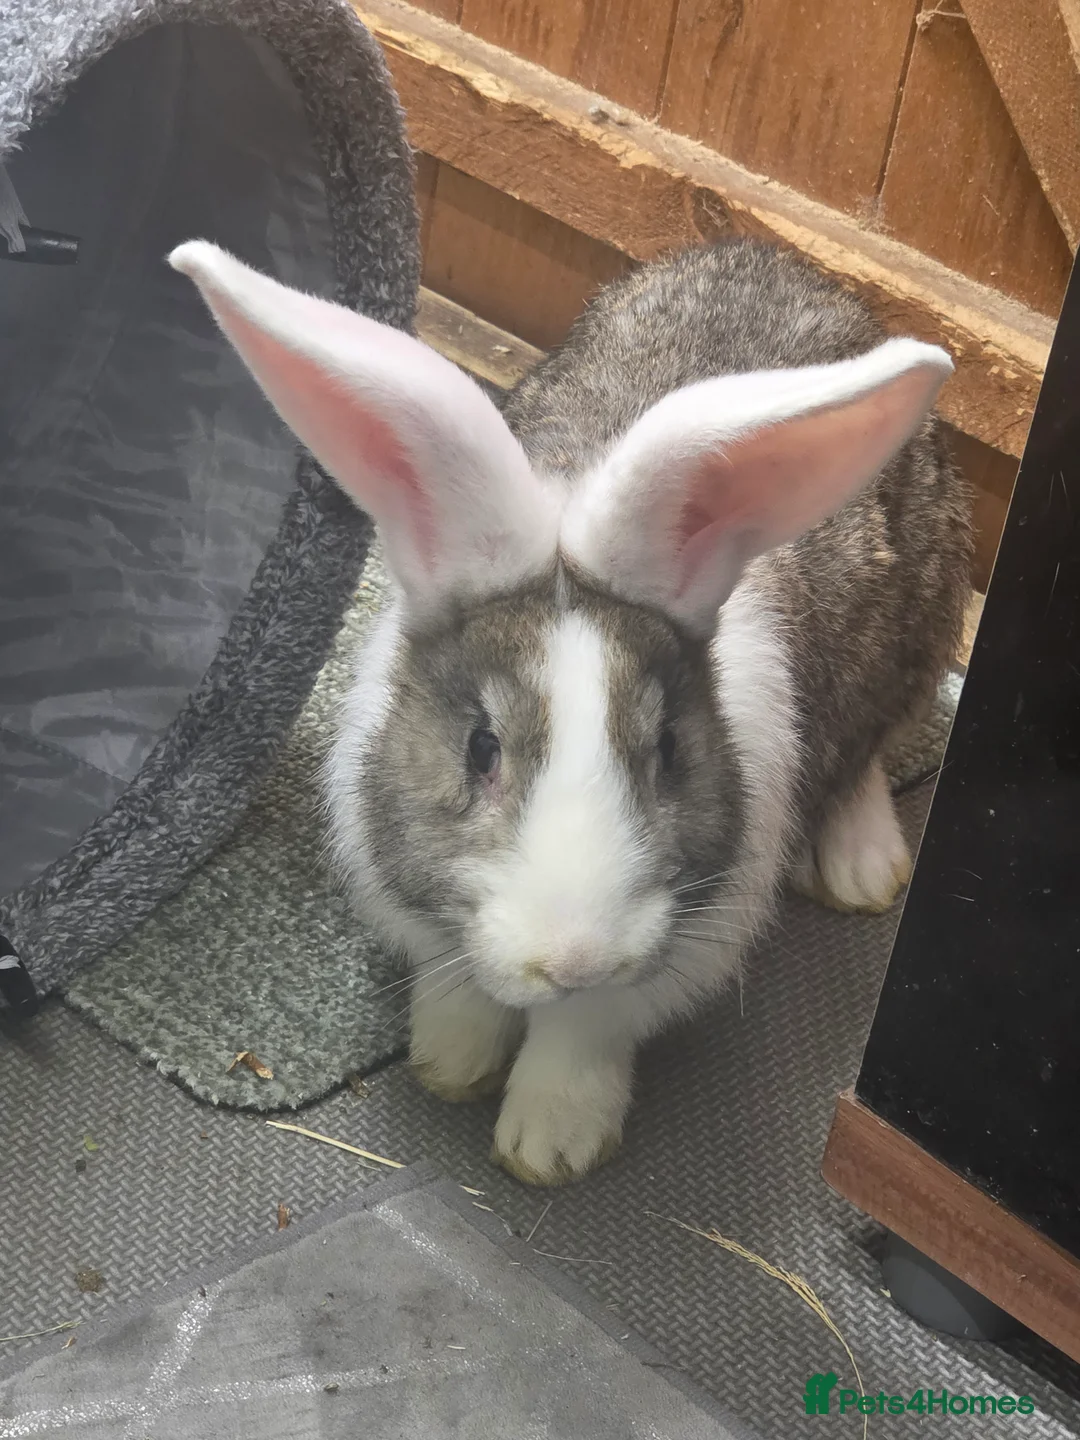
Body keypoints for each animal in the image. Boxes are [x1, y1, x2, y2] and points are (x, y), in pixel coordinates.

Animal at [169, 237, 973, 1187]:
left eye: (667, 748)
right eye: (481, 748)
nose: (577, 958)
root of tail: (784, 261)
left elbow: (583, 1035)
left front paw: (550, 1144)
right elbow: (459, 991)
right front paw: (450, 1063)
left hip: (919, 618)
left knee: (874, 744)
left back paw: (859, 864)